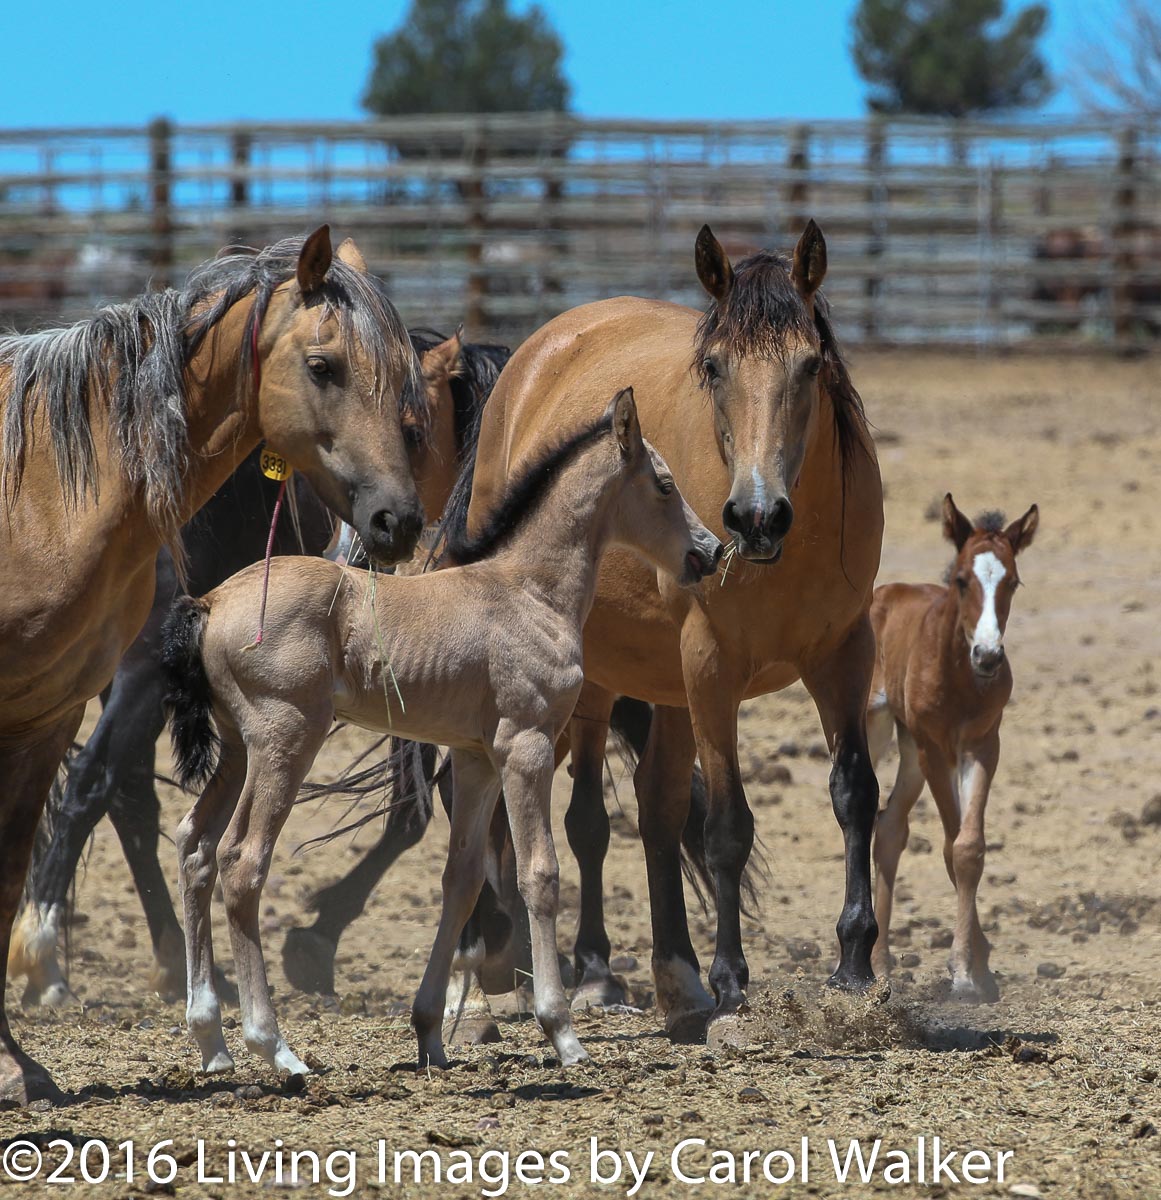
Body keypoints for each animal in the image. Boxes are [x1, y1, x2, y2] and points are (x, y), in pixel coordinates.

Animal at [163, 388, 724, 1075]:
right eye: (665, 485)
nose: (710, 551)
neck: (528, 589)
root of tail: (210, 603)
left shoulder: (476, 757)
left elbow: (461, 882)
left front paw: (429, 1031)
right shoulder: (525, 746)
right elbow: (540, 874)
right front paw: (563, 1033)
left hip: (239, 748)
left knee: (195, 847)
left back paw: (211, 1041)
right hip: (285, 741)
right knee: (243, 863)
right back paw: (276, 1049)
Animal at [453, 220, 877, 1046]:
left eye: (810, 364)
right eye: (712, 368)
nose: (754, 516)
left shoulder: (844, 652)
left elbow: (853, 793)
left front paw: (853, 963)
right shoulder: (711, 666)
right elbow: (726, 827)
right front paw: (732, 979)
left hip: (629, 676)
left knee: (632, 816)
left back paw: (643, 977)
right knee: (547, 811)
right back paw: (497, 975)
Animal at [868, 496, 1036, 1003]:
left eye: (1012, 581)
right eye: (962, 579)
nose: (989, 655)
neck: (960, 674)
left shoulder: (982, 744)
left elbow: (968, 845)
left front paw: (977, 969)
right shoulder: (935, 747)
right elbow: (949, 843)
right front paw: (964, 970)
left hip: (909, 749)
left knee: (889, 827)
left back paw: (881, 965)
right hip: (882, 732)